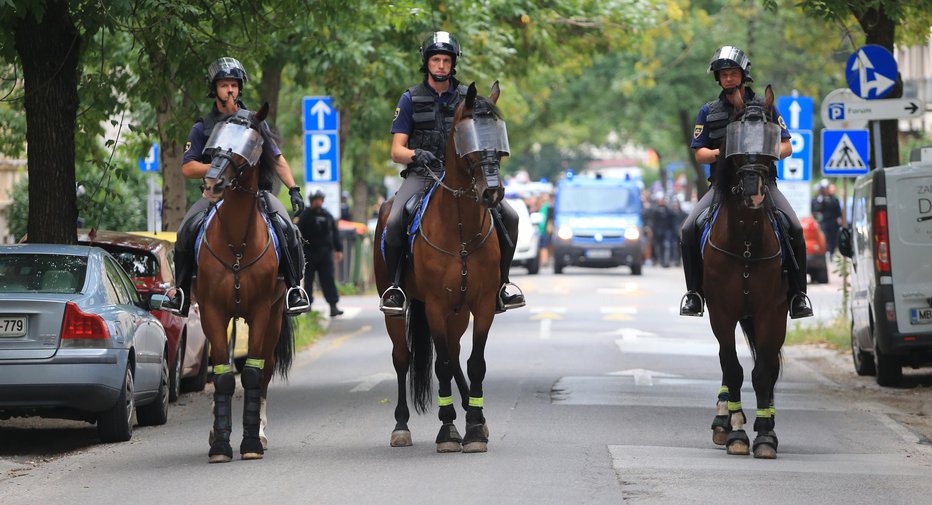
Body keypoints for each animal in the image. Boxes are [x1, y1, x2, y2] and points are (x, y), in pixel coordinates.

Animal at [198, 102, 294, 460]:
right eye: (213, 147)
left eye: (248, 144)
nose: (212, 184)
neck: (237, 243)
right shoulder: (211, 311)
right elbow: (223, 377)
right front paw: (221, 442)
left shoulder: (262, 310)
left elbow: (253, 373)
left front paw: (251, 441)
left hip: (275, 317)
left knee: (264, 371)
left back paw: (262, 432)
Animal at [374, 81, 510, 452]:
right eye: (469, 140)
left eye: (499, 141)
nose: (493, 192)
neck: (460, 228)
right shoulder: (434, 304)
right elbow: (443, 365)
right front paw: (448, 429)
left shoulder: (481, 304)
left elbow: (474, 363)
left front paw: (474, 427)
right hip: (400, 306)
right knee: (403, 357)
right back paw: (401, 426)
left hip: (458, 311)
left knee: (455, 350)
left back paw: (474, 415)